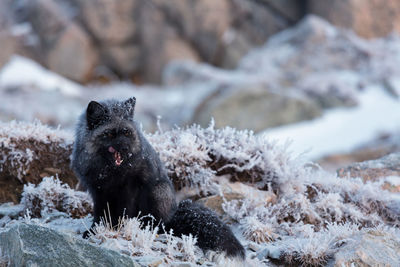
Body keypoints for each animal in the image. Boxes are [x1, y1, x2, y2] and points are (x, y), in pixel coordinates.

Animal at [70, 98, 244, 260]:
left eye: (127, 133)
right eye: (110, 133)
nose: (126, 149)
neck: (110, 172)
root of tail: (173, 214)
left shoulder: (129, 188)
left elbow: (124, 212)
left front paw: (120, 227)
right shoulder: (98, 191)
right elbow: (100, 215)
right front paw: (94, 230)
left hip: (157, 192)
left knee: (157, 225)